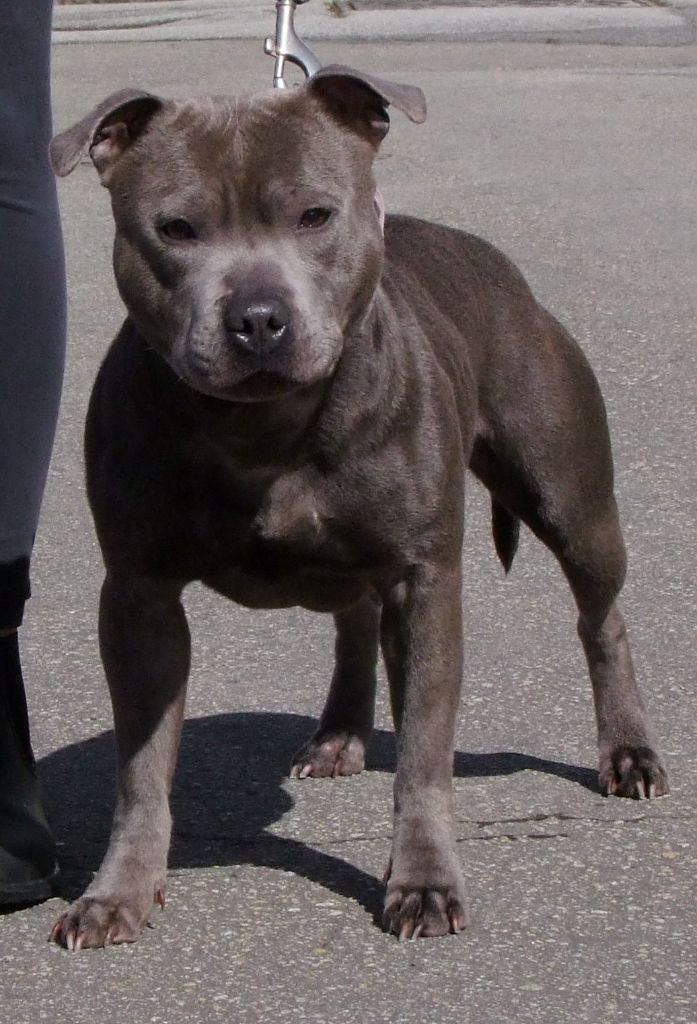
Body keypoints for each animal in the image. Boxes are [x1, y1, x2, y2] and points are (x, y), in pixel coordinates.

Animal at [48, 66, 668, 948]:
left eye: (315, 215)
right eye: (174, 228)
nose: (258, 319)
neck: (262, 429)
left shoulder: (424, 582)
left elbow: (423, 757)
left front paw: (423, 881)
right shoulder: (140, 598)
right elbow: (139, 771)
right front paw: (117, 892)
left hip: (570, 503)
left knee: (600, 619)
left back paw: (627, 752)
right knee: (353, 622)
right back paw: (340, 731)